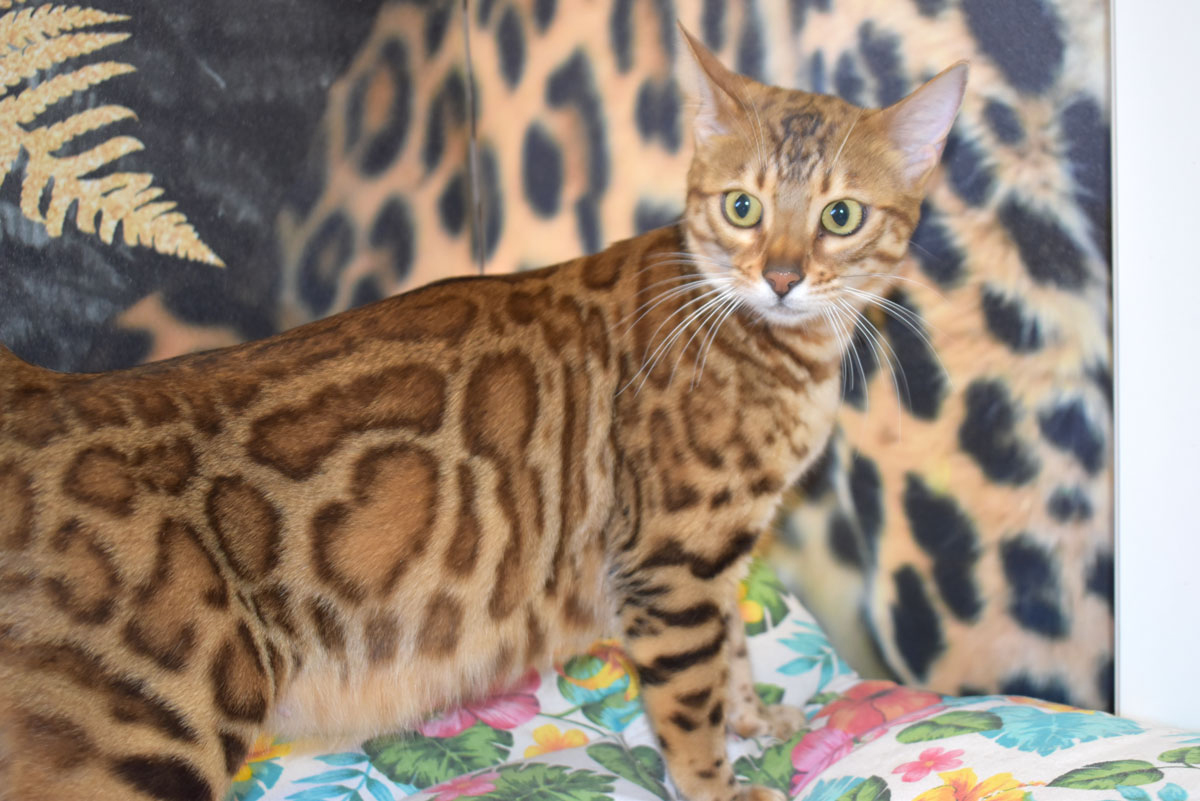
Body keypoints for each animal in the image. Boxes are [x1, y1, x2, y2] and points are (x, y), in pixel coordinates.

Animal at [0, 27, 965, 801]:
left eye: (840, 215)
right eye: (743, 206)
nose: (783, 276)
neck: (776, 350)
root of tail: (41, 387)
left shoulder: (715, 557)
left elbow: (730, 652)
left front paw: (757, 719)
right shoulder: (669, 560)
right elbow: (688, 704)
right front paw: (722, 783)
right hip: (149, 726)